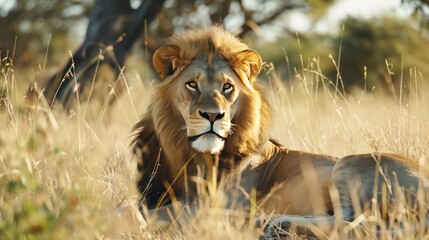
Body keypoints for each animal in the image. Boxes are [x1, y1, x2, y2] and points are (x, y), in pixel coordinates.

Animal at [131, 26, 428, 236]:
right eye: (192, 84)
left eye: (228, 87)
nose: (214, 116)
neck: (189, 153)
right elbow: (142, 208)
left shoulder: (221, 206)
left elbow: (142, 212)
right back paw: (274, 223)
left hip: (350, 163)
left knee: (353, 225)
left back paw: (274, 225)